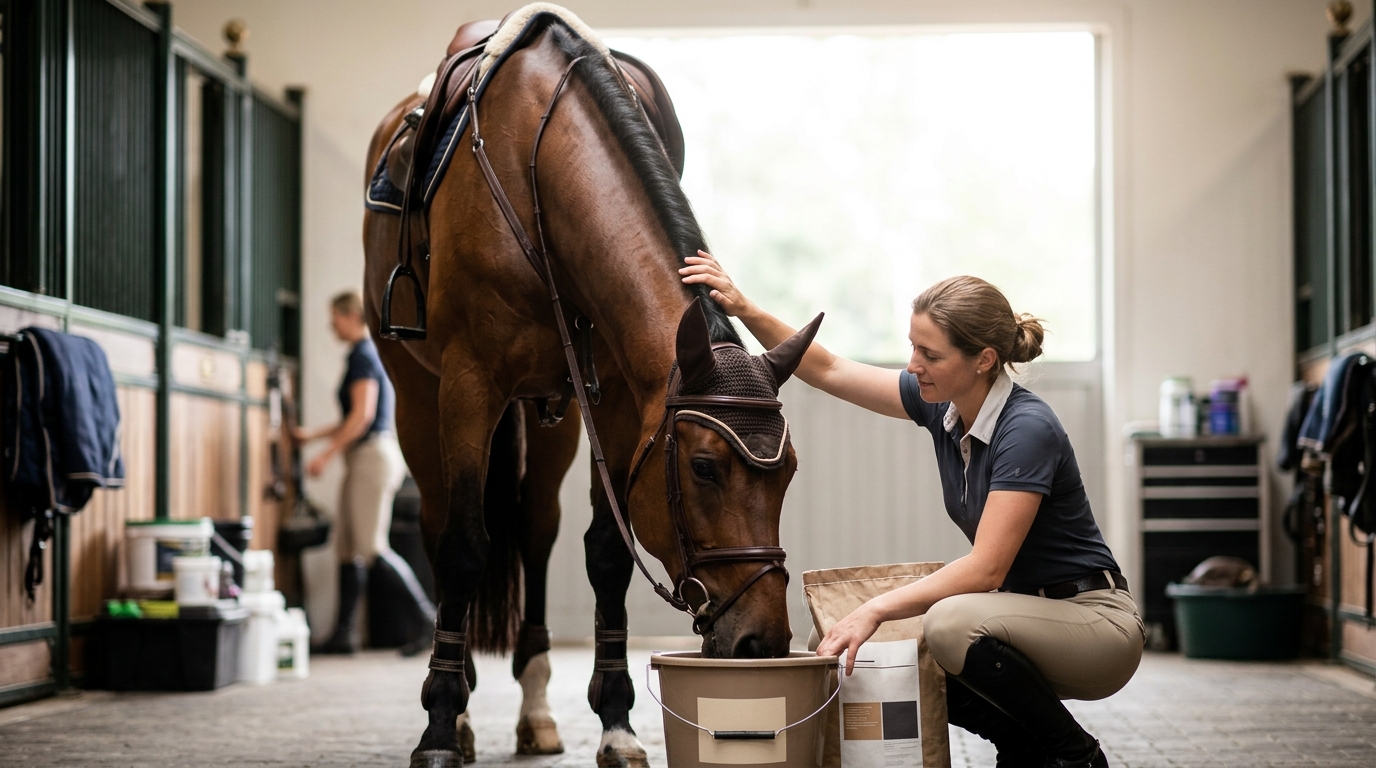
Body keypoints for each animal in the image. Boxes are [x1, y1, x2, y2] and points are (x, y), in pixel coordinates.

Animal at [361, 7, 822, 767]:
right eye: (704, 469)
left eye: (787, 473)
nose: (763, 640)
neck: (538, 160)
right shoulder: (468, 384)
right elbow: (463, 546)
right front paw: (439, 725)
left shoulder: (619, 397)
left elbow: (607, 551)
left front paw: (616, 723)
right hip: (418, 396)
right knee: (438, 524)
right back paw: (462, 711)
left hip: (553, 412)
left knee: (535, 526)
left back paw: (536, 707)